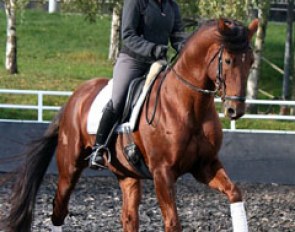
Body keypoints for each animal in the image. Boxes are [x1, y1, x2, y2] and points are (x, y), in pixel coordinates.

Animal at [2, 18, 258, 232]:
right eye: (228, 60)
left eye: (251, 62)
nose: (235, 110)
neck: (188, 106)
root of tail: (74, 98)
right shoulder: (162, 173)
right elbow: (172, 222)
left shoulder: (205, 166)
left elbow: (235, 193)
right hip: (69, 166)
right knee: (59, 210)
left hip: (127, 174)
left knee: (128, 218)